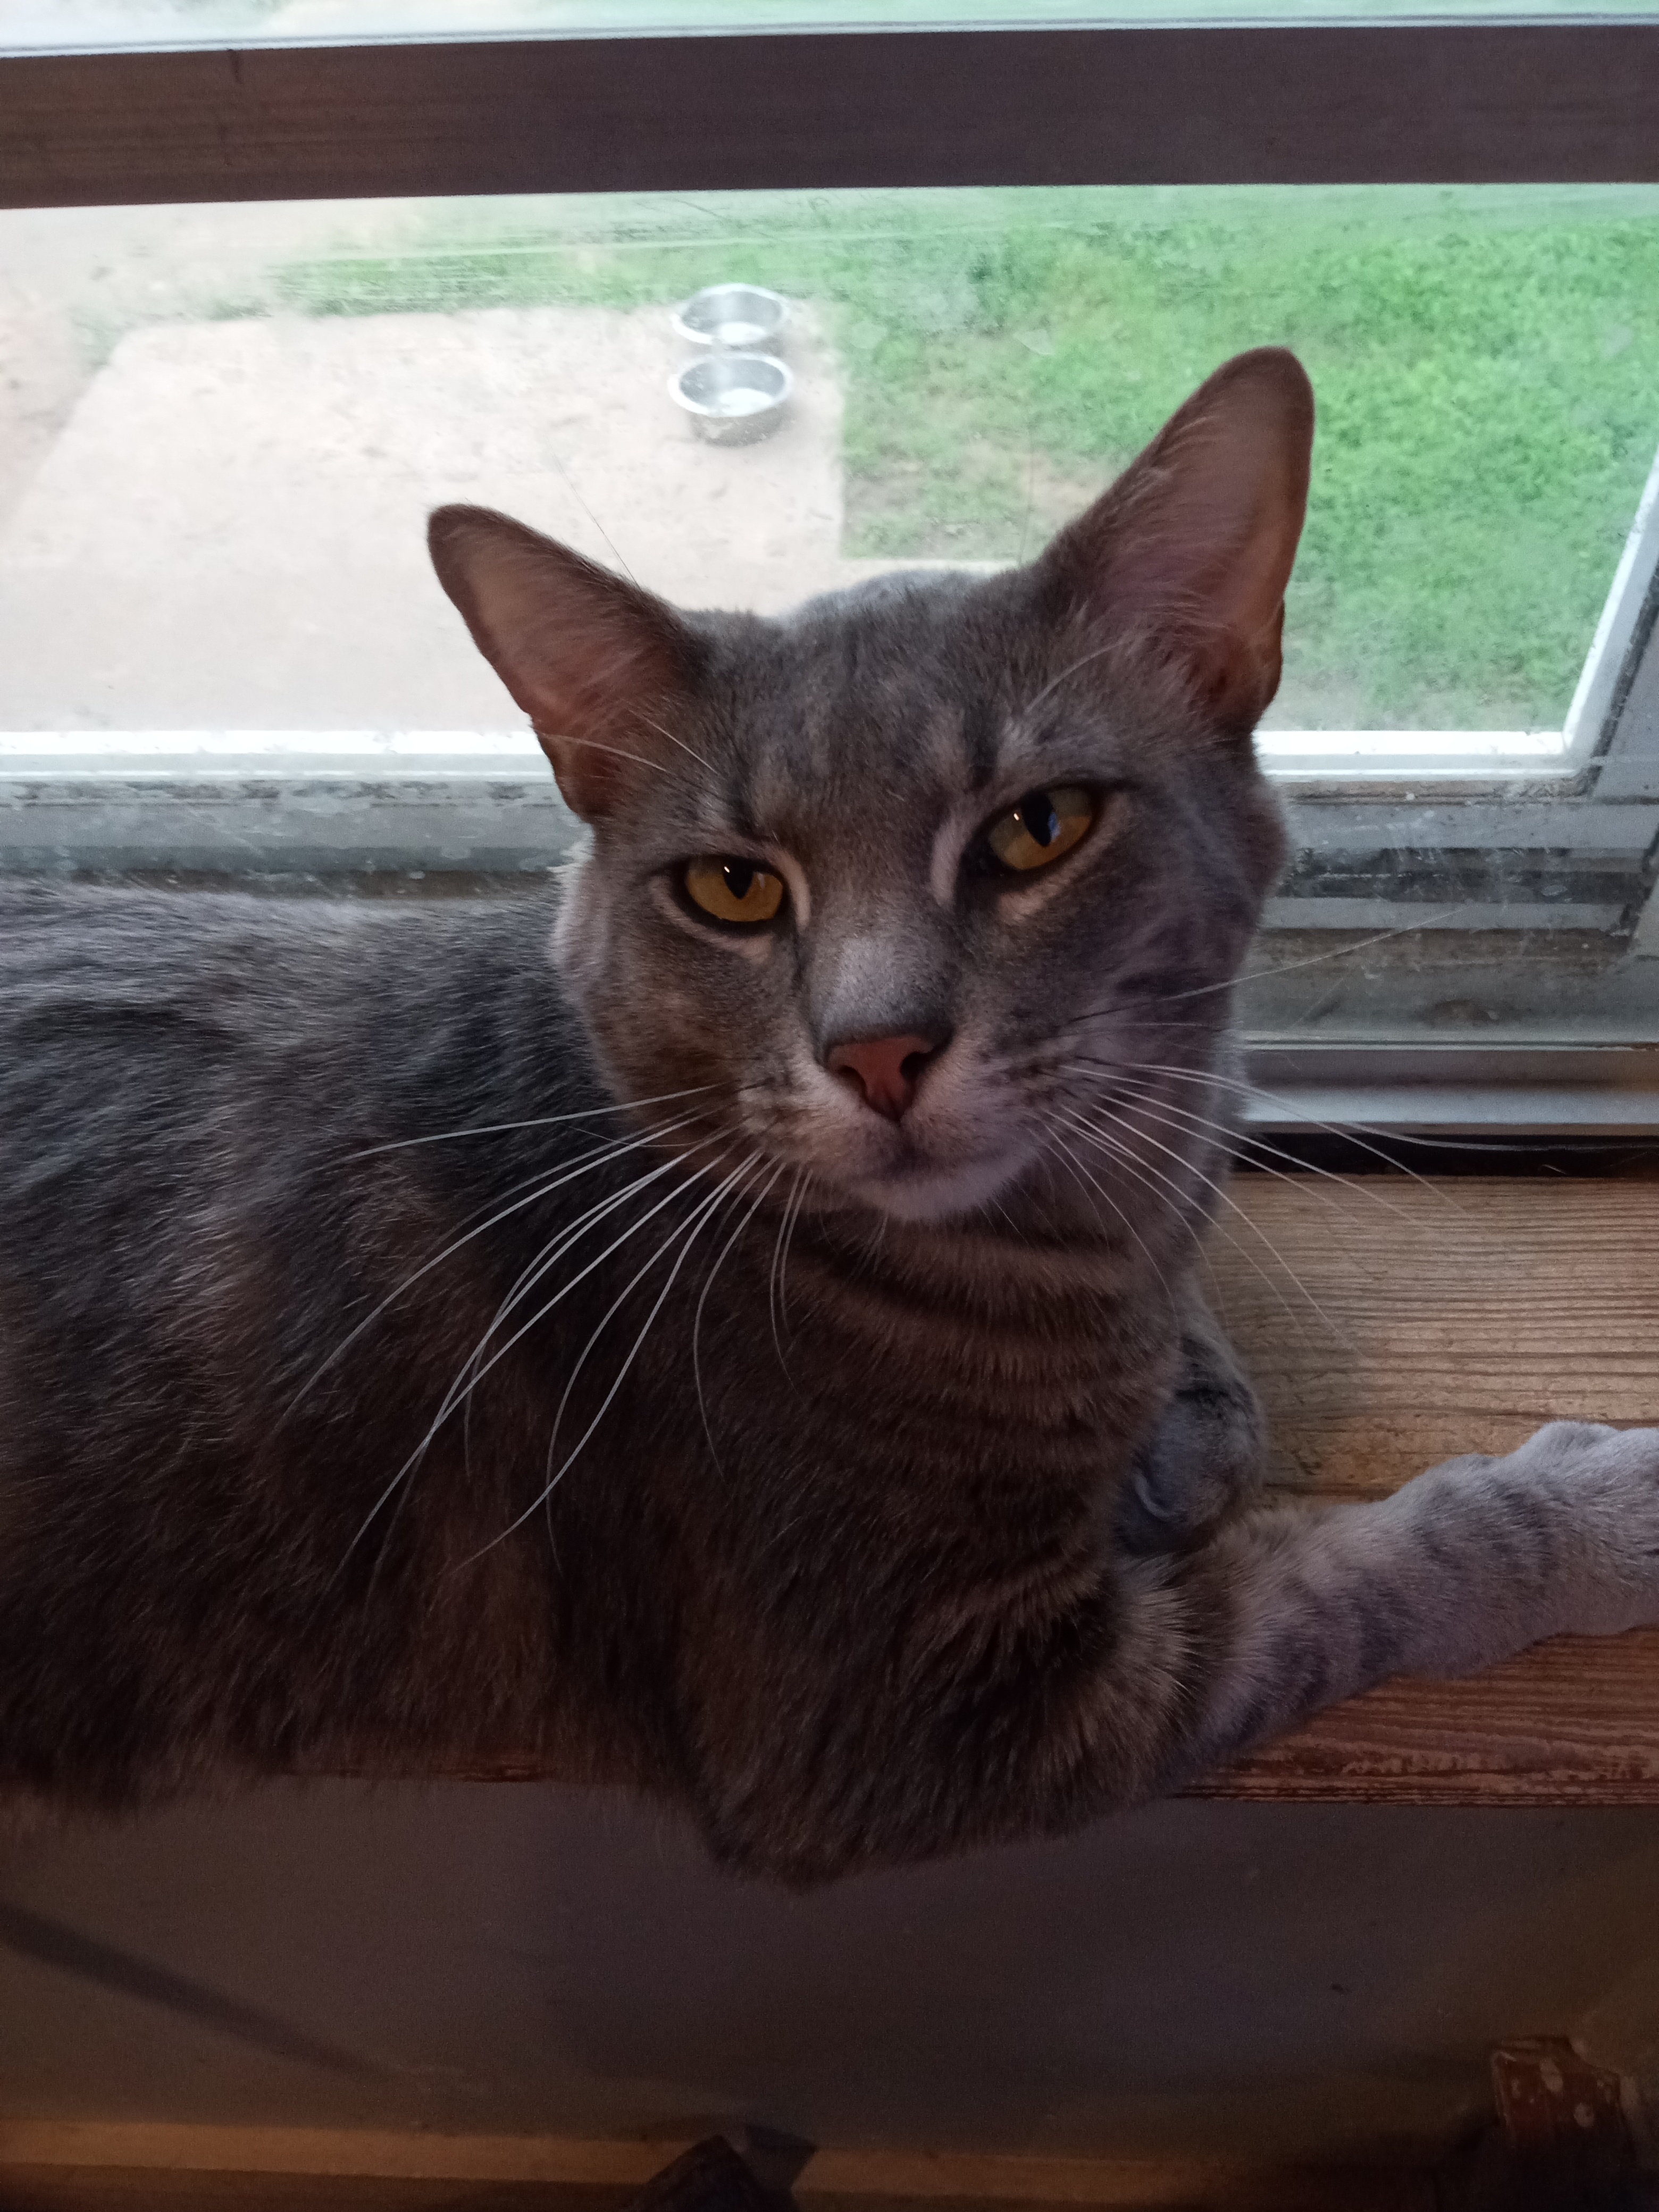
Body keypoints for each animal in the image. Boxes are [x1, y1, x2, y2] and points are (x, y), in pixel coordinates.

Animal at [3, 349, 1659, 1884]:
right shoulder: (911, 1718)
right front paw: (1583, 1508)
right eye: (735, 887)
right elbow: (1348, 1579)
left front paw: (1169, 1420)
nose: (876, 1050)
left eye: (1037, 827)